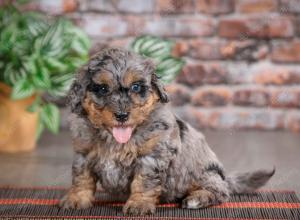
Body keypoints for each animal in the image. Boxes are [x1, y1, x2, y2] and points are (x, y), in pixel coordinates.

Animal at [59, 47, 276, 215]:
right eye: (103, 89)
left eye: (136, 87)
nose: (121, 115)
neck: (117, 139)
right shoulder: (84, 153)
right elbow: (82, 178)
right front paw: (76, 199)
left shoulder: (152, 155)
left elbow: (143, 181)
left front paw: (139, 204)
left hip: (205, 174)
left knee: (220, 192)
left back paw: (197, 198)